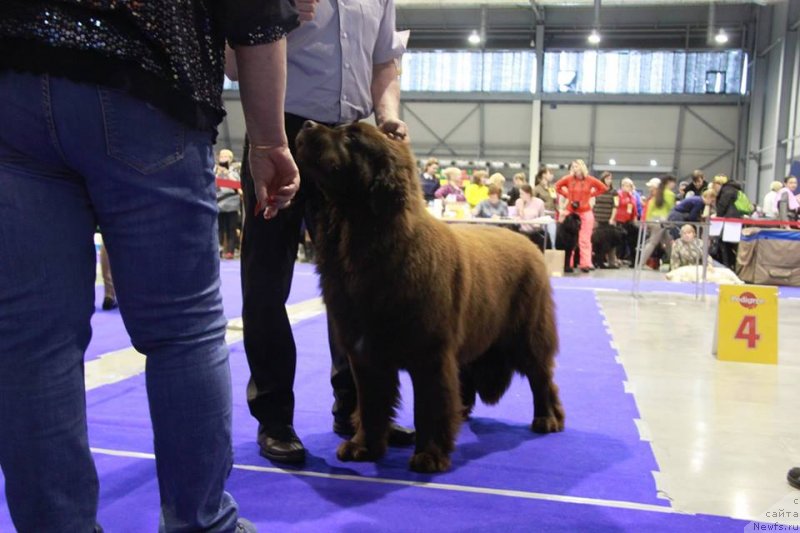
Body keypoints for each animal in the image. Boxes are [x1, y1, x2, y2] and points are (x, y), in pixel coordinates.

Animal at [294, 119, 564, 470]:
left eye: (352, 136)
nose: (306, 124)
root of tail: (528, 243)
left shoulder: (431, 354)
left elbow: (430, 405)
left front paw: (429, 455)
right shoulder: (364, 352)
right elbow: (370, 404)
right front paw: (363, 446)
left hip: (528, 335)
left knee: (541, 377)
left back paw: (547, 418)